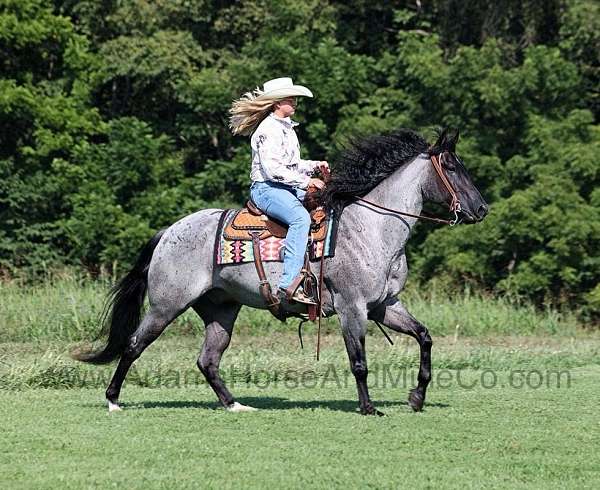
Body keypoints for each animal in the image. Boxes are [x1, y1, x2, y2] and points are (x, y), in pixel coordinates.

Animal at [75, 128, 488, 416]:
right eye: (452, 167)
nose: (481, 209)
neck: (371, 228)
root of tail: (168, 232)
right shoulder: (352, 308)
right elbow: (359, 362)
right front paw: (369, 408)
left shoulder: (385, 305)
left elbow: (424, 337)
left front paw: (416, 397)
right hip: (166, 306)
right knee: (133, 344)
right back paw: (113, 401)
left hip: (221, 310)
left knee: (208, 360)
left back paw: (235, 405)